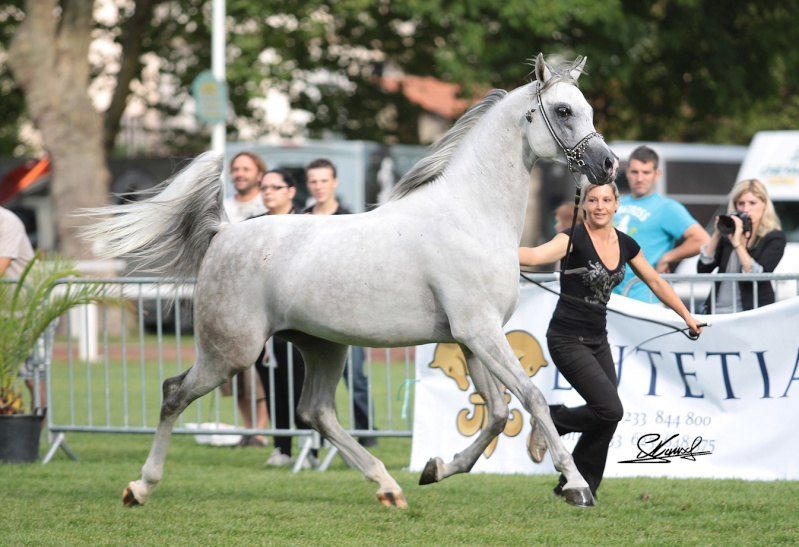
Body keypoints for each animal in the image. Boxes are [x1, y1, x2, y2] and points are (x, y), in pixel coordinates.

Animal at [81, 54, 616, 510]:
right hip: (230, 352)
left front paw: (436, 468)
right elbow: (532, 399)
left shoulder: (470, 337)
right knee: (174, 393)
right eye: (564, 110)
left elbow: (500, 412)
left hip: (321, 346)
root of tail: (225, 233)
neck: (470, 215)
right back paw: (139, 488)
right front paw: (576, 487)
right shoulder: (479, 332)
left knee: (315, 412)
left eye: (589, 108)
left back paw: (389, 487)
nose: (607, 165)